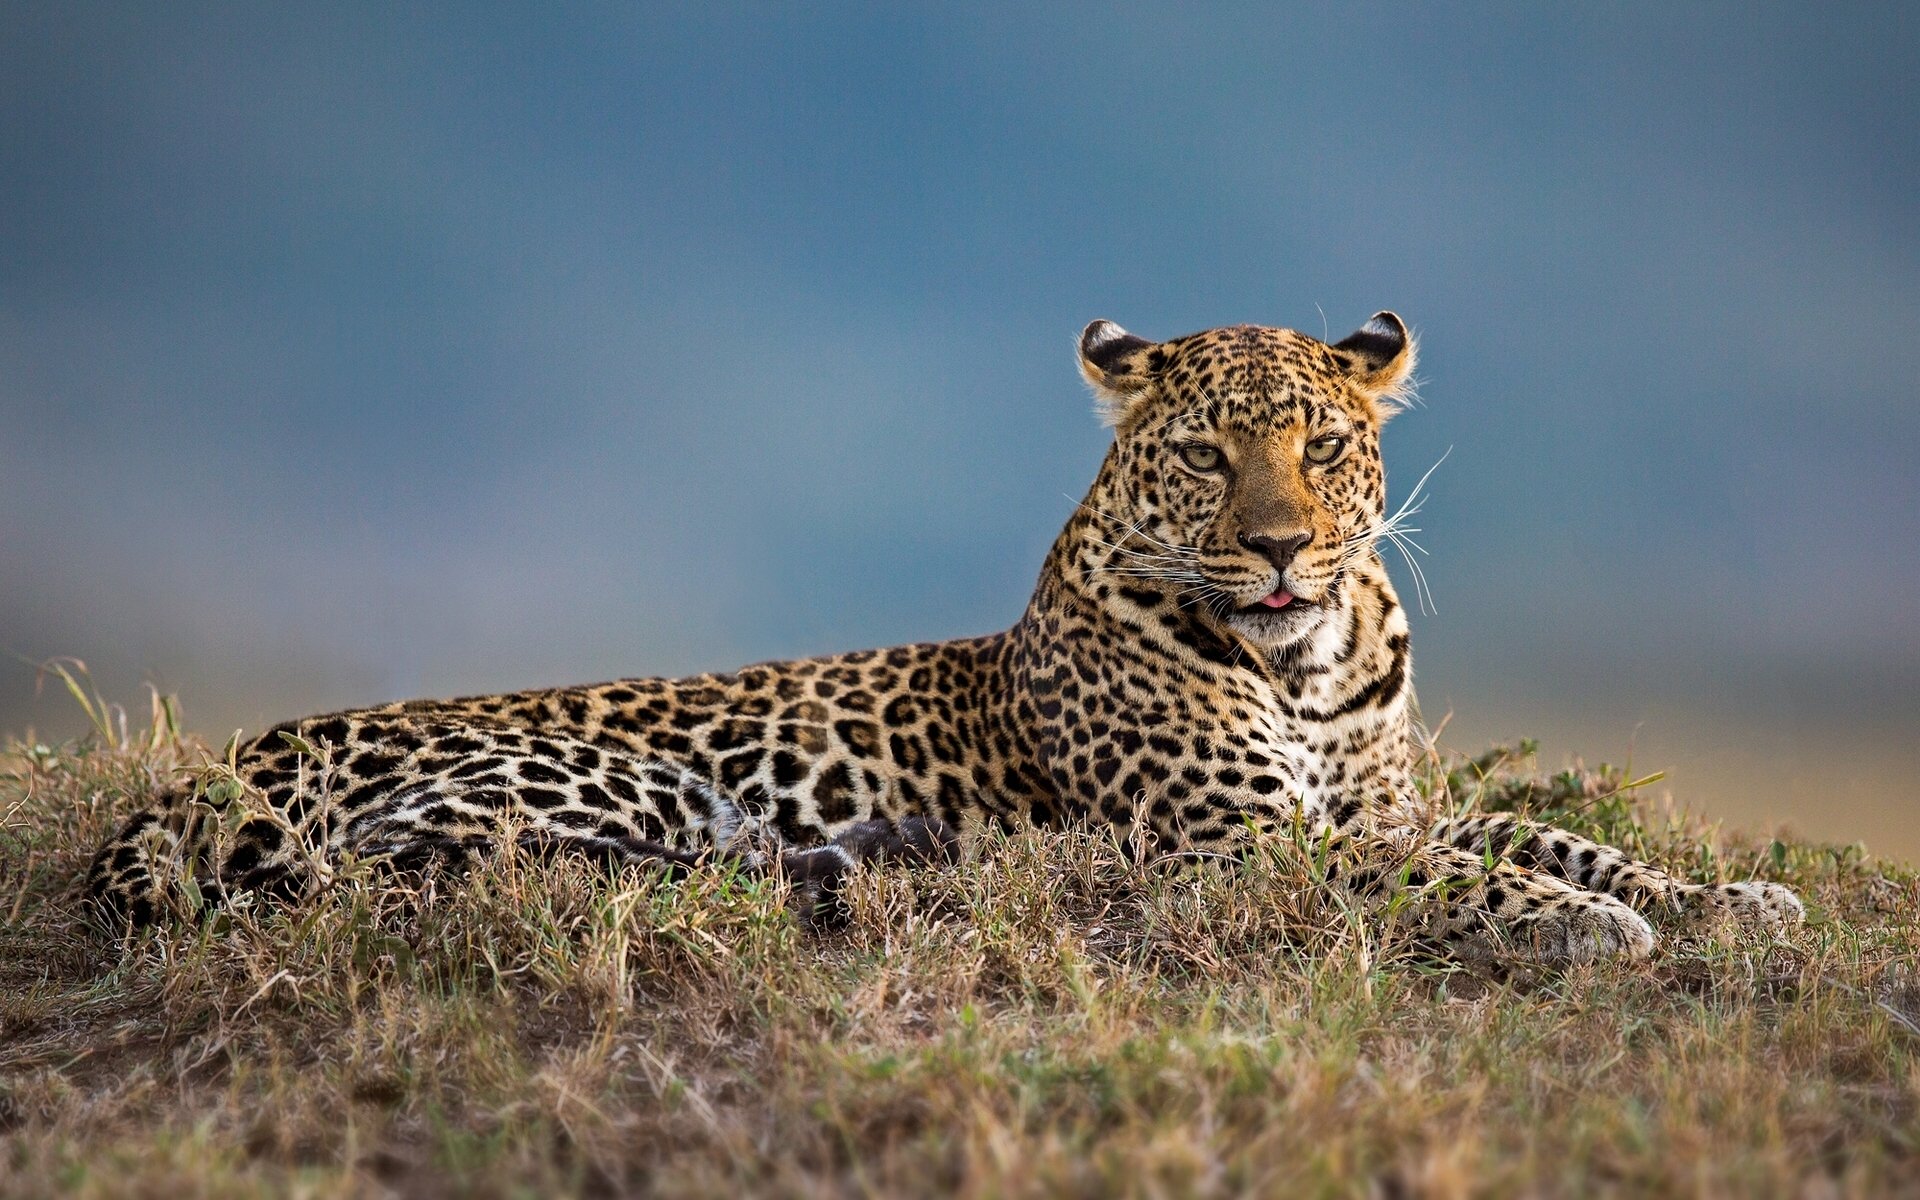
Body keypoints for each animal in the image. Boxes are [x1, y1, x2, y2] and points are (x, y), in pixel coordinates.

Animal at [88, 312, 1803, 963]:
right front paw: (1589, 923)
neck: (1310, 672)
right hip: (610, 787)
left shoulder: (1390, 793)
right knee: (443, 878)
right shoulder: (1235, 843)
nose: (1278, 549)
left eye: (1320, 446)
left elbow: (1534, 830)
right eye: (1208, 456)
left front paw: (1722, 893)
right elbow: (1450, 873)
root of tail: (239, 752)